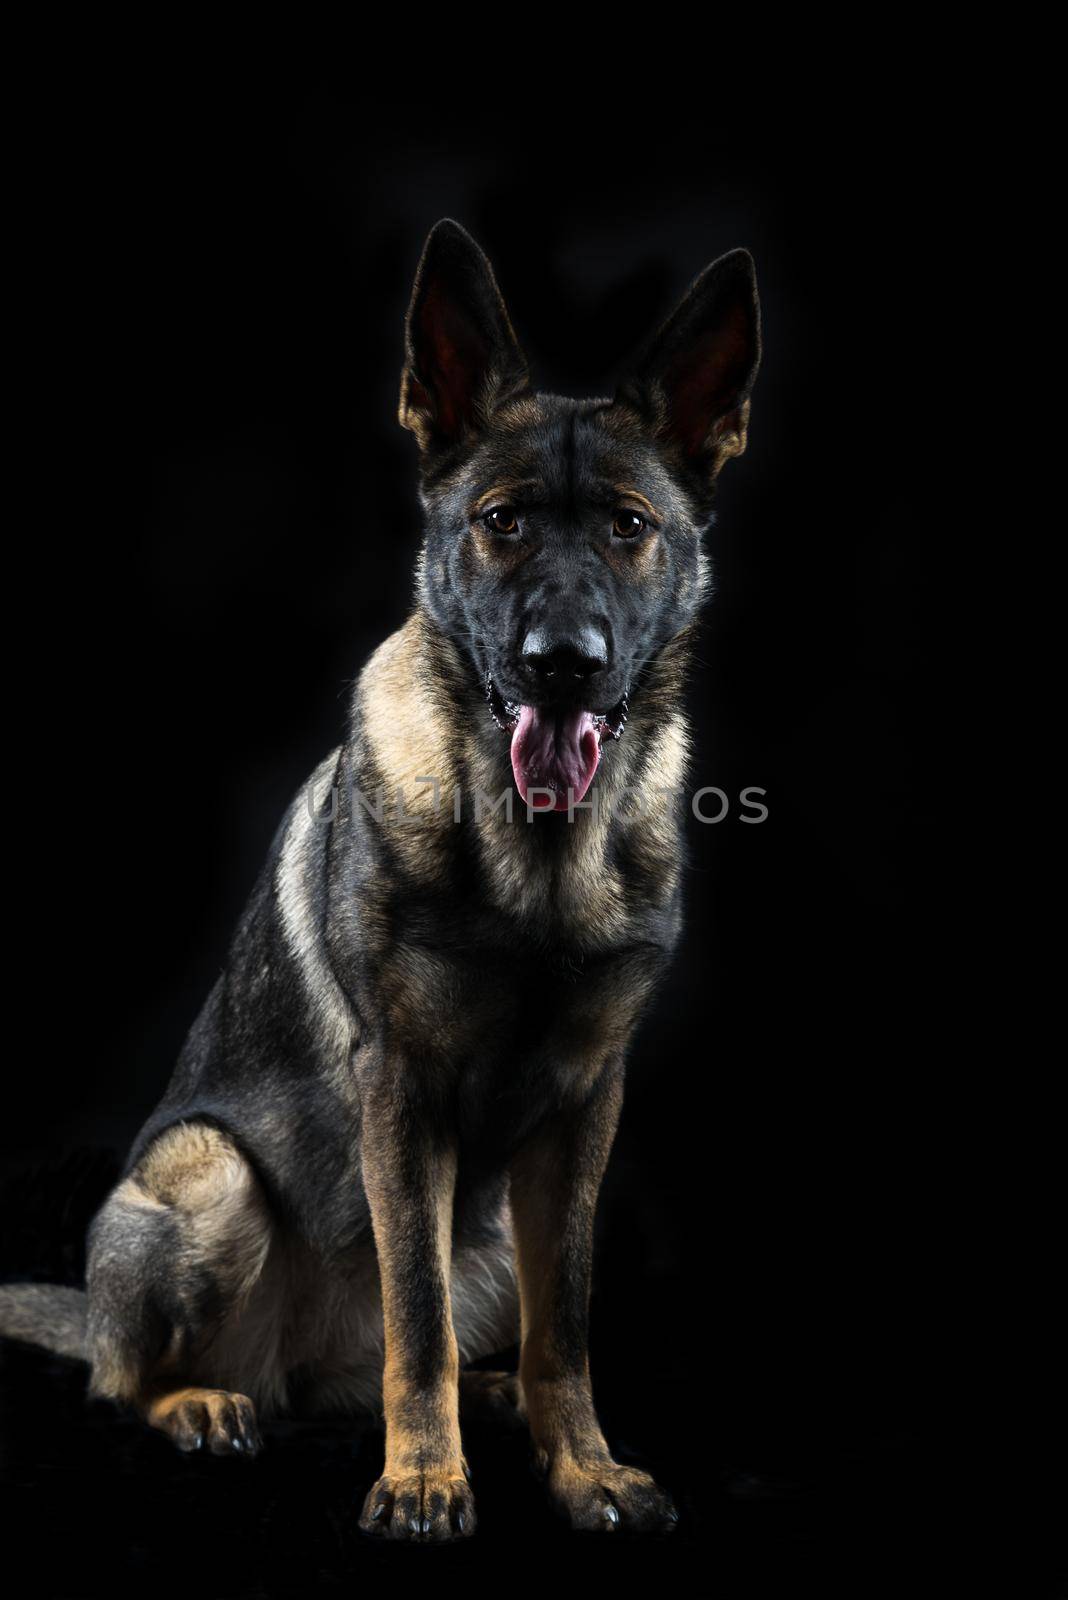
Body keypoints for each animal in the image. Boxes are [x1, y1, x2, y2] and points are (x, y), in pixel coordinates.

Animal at [0, 222, 757, 1536]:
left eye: (628, 527)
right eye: (502, 523)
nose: (563, 664)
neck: (536, 857)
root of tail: (295, 1369)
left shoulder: (588, 1105)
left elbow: (569, 1324)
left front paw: (584, 1463)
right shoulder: (401, 1095)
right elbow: (418, 1320)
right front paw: (422, 1478)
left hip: (493, 1234)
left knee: (474, 1334)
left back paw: (497, 1404)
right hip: (208, 1179)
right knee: (125, 1376)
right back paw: (203, 1405)